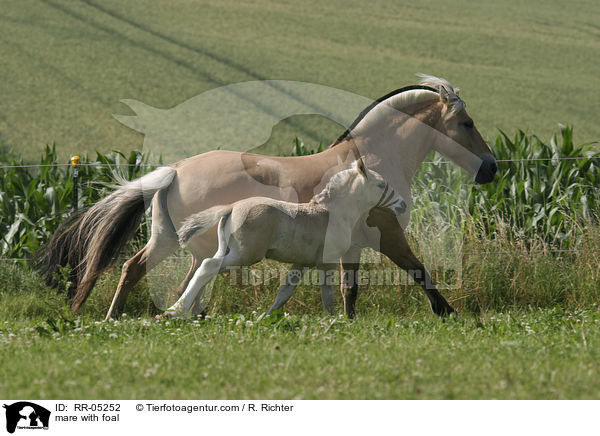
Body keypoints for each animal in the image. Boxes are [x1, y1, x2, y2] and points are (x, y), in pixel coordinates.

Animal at [165, 160, 408, 316]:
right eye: (381, 184)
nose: (402, 204)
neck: (334, 213)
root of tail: (232, 207)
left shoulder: (301, 263)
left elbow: (284, 293)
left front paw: (265, 318)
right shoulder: (327, 263)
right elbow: (328, 295)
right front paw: (332, 321)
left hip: (226, 250)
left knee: (205, 267)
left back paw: (175, 309)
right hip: (244, 255)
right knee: (208, 266)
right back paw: (175, 311)